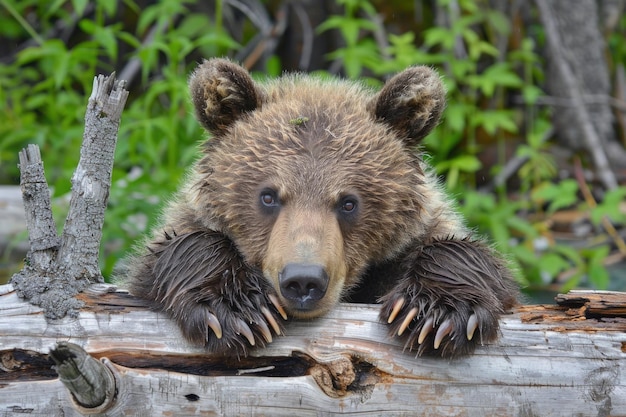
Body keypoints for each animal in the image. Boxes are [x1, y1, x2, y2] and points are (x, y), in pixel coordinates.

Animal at [128, 57, 516, 358]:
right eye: (268, 195)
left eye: (348, 202)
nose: (303, 280)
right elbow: (179, 249)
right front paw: (239, 309)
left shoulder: (409, 241)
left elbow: (459, 253)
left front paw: (436, 313)